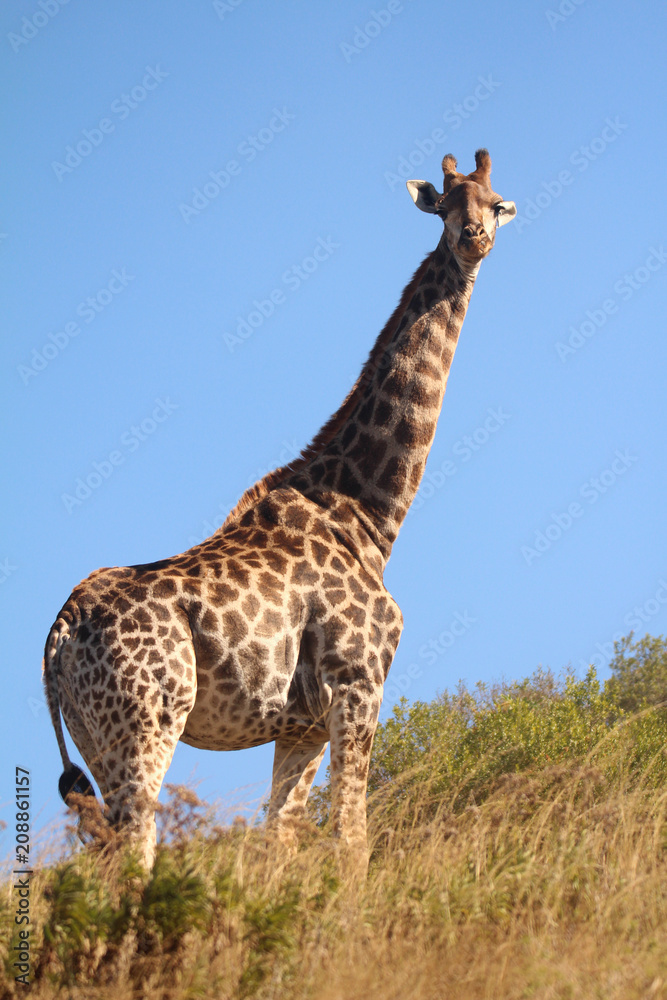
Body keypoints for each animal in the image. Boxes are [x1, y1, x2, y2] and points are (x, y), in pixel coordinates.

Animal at [44, 149, 515, 870]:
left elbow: (282, 842)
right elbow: (352, 837)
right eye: (445, 206)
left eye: (495, 204)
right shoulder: (358, 683)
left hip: (95, 737)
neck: (367, 512)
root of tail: (59, 635)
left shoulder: (301, 724)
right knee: (135, 855)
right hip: (147, 721)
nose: (474, 239)